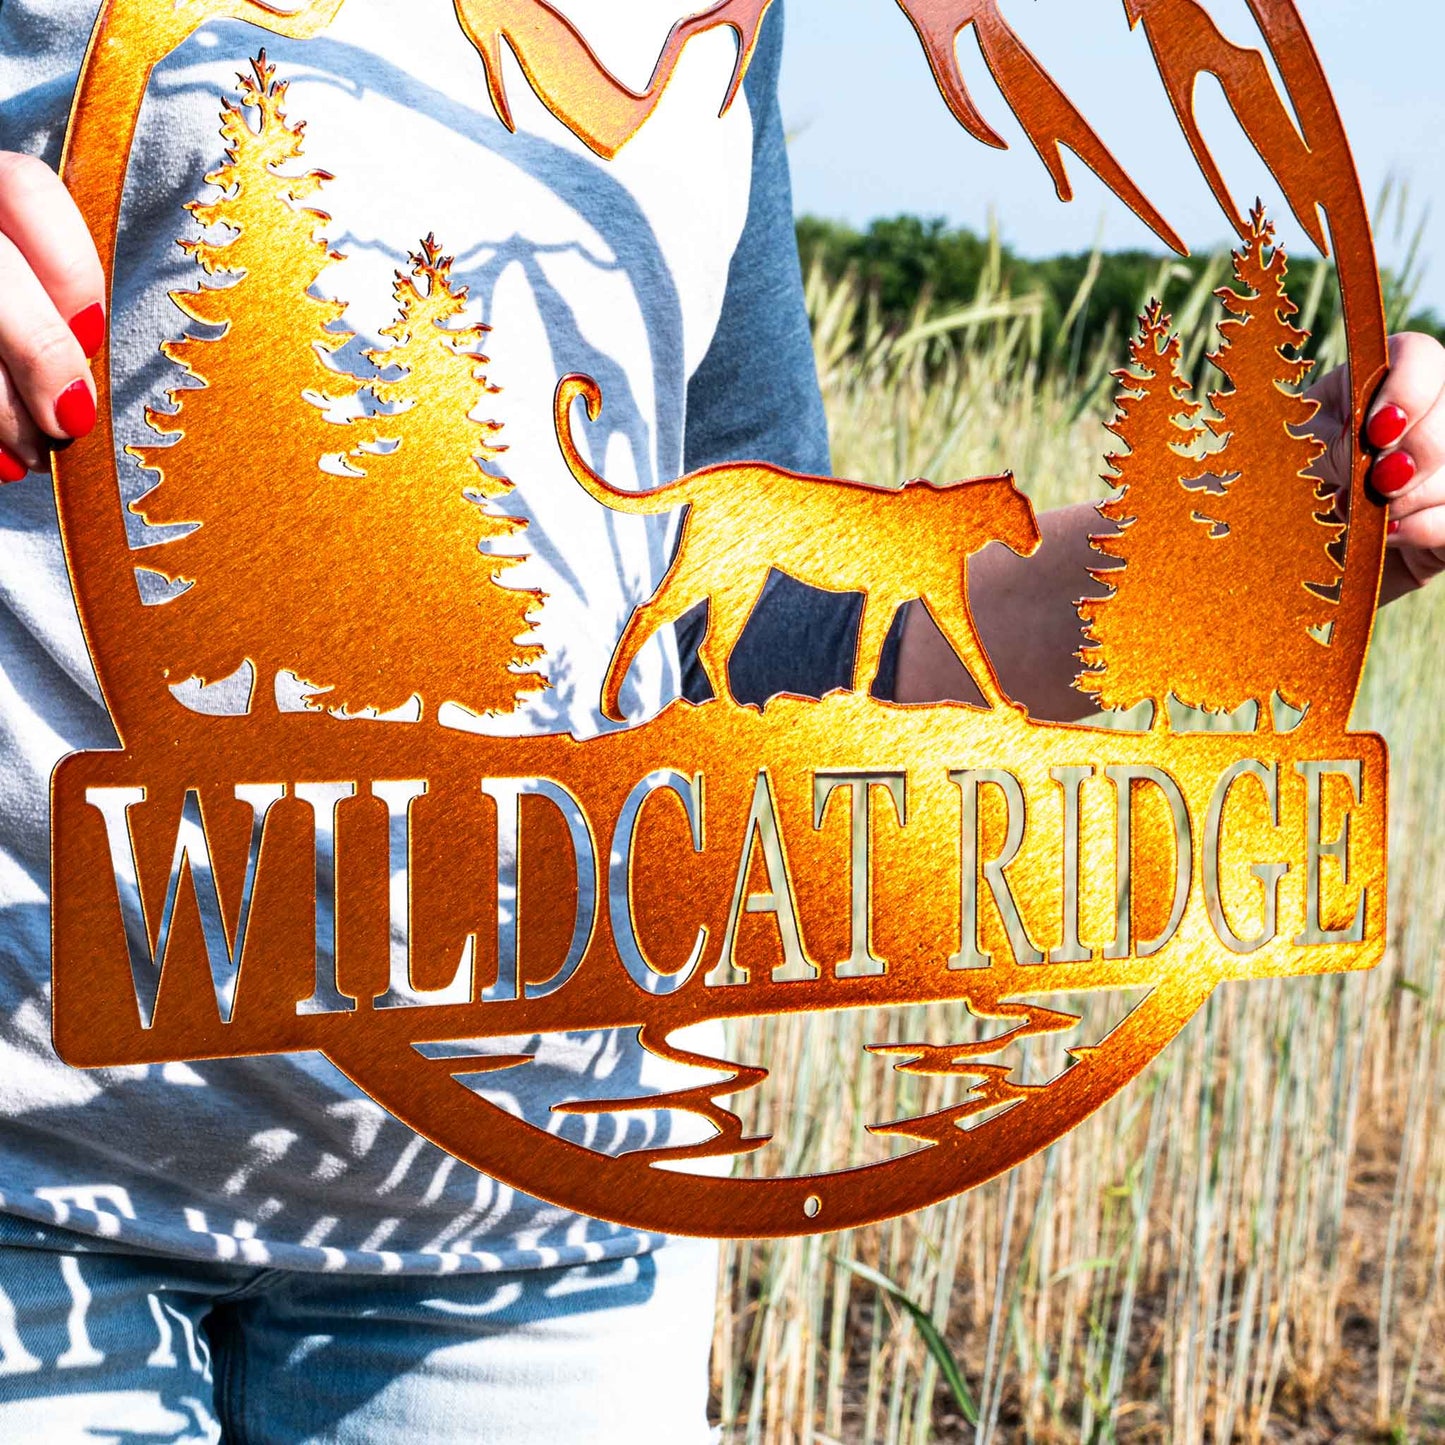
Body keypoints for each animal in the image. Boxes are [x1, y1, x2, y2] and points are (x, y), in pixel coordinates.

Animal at [554, 374, 1043, 722]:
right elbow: (905, 653)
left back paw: (729, 708)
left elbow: (948, 653)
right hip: (718, 575)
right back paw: (623, 709)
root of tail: (709, 478)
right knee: (652, 615)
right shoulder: (900, 596)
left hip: (735, 582)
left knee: (706, 643)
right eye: (1024, 510)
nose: (1038, 538)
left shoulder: (909, 600)